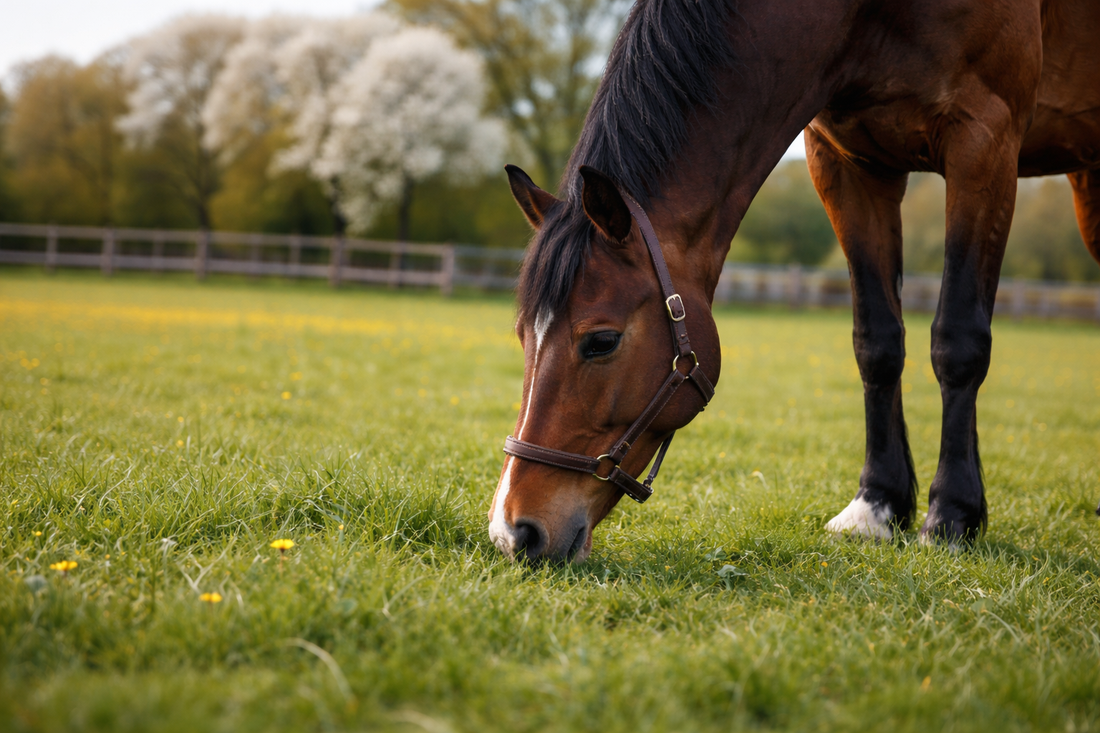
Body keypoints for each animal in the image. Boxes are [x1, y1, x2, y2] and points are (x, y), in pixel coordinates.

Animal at [488, 0, 1100, 563]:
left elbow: (959, 342)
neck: (866, 15)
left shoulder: (984, 142)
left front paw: (951, 514)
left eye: (601, 341)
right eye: (522, 336)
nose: (513, 531)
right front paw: (877, 507)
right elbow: (876, 343)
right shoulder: (848, 162)